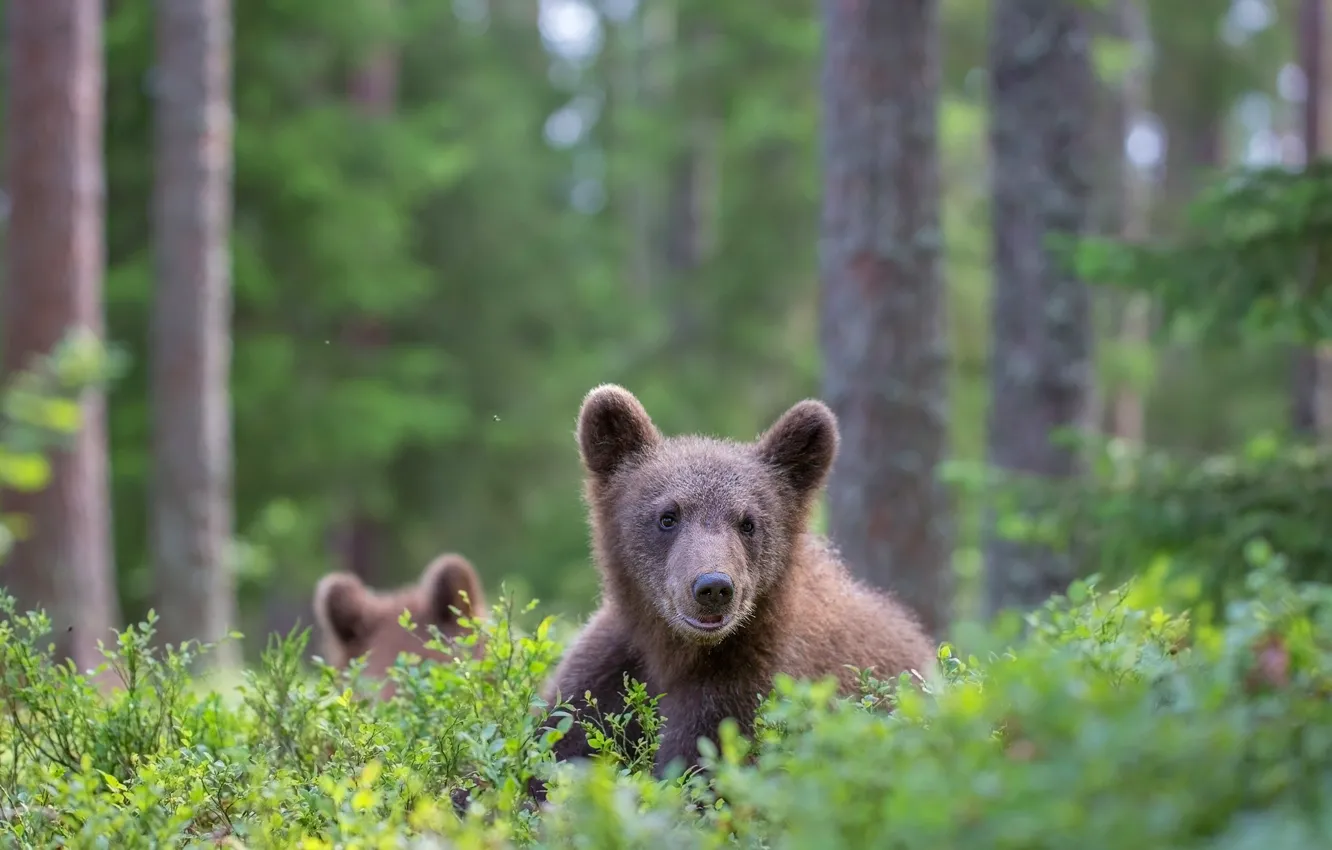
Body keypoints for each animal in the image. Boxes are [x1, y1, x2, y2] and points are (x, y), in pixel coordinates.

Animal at [539, 384, 937, 783]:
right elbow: (556, 744)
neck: (674, 651)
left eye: (748, 523)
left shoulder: (745, 690)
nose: (713, 587)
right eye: (668, 516)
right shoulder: (605, 672)